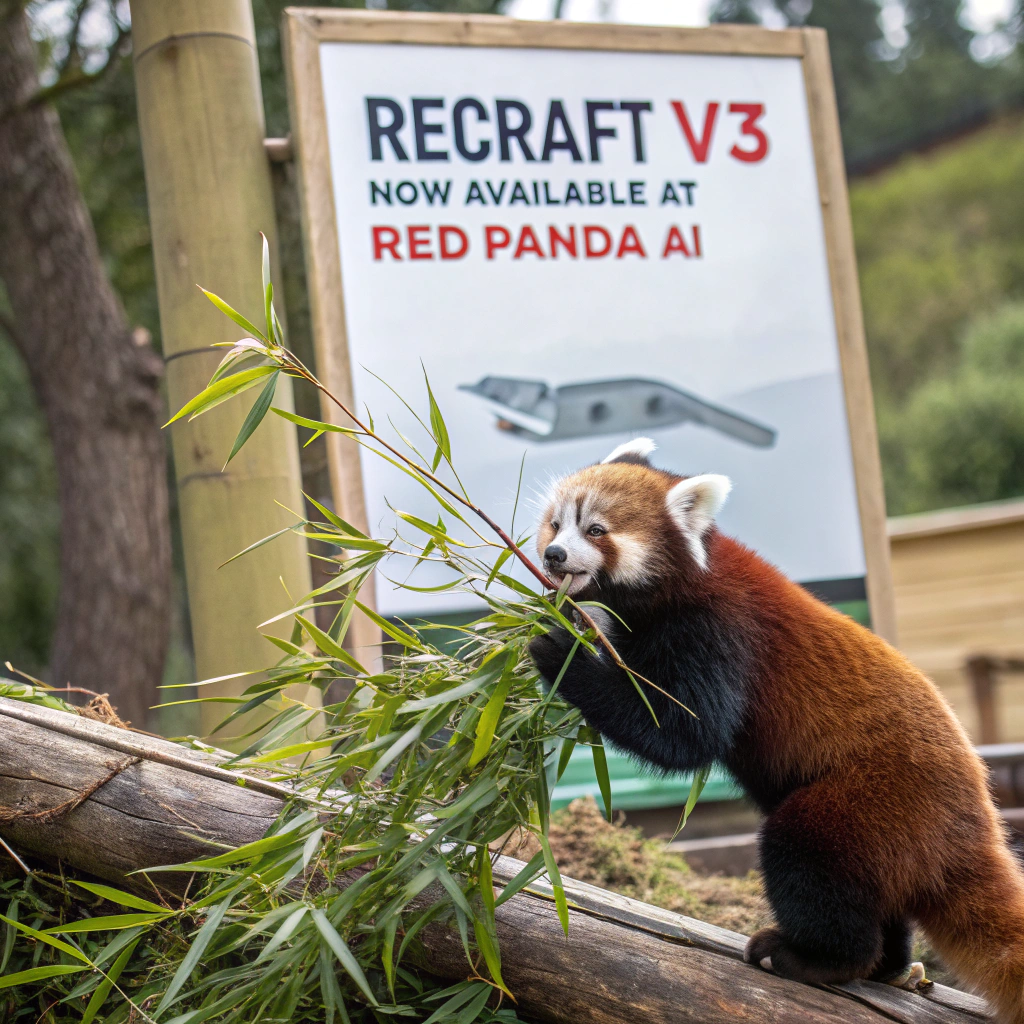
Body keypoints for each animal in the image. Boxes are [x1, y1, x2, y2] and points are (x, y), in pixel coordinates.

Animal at [528, 437, 1024, 1021]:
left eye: (596, 531)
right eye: (555, 524)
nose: (554, 556)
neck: (682, 579)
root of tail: (974, 822)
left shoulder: (718, 632)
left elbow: (681, 735)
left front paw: (558, 648)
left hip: (869, 803)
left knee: (802, 853)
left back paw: (813, 958)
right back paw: (889, 965)